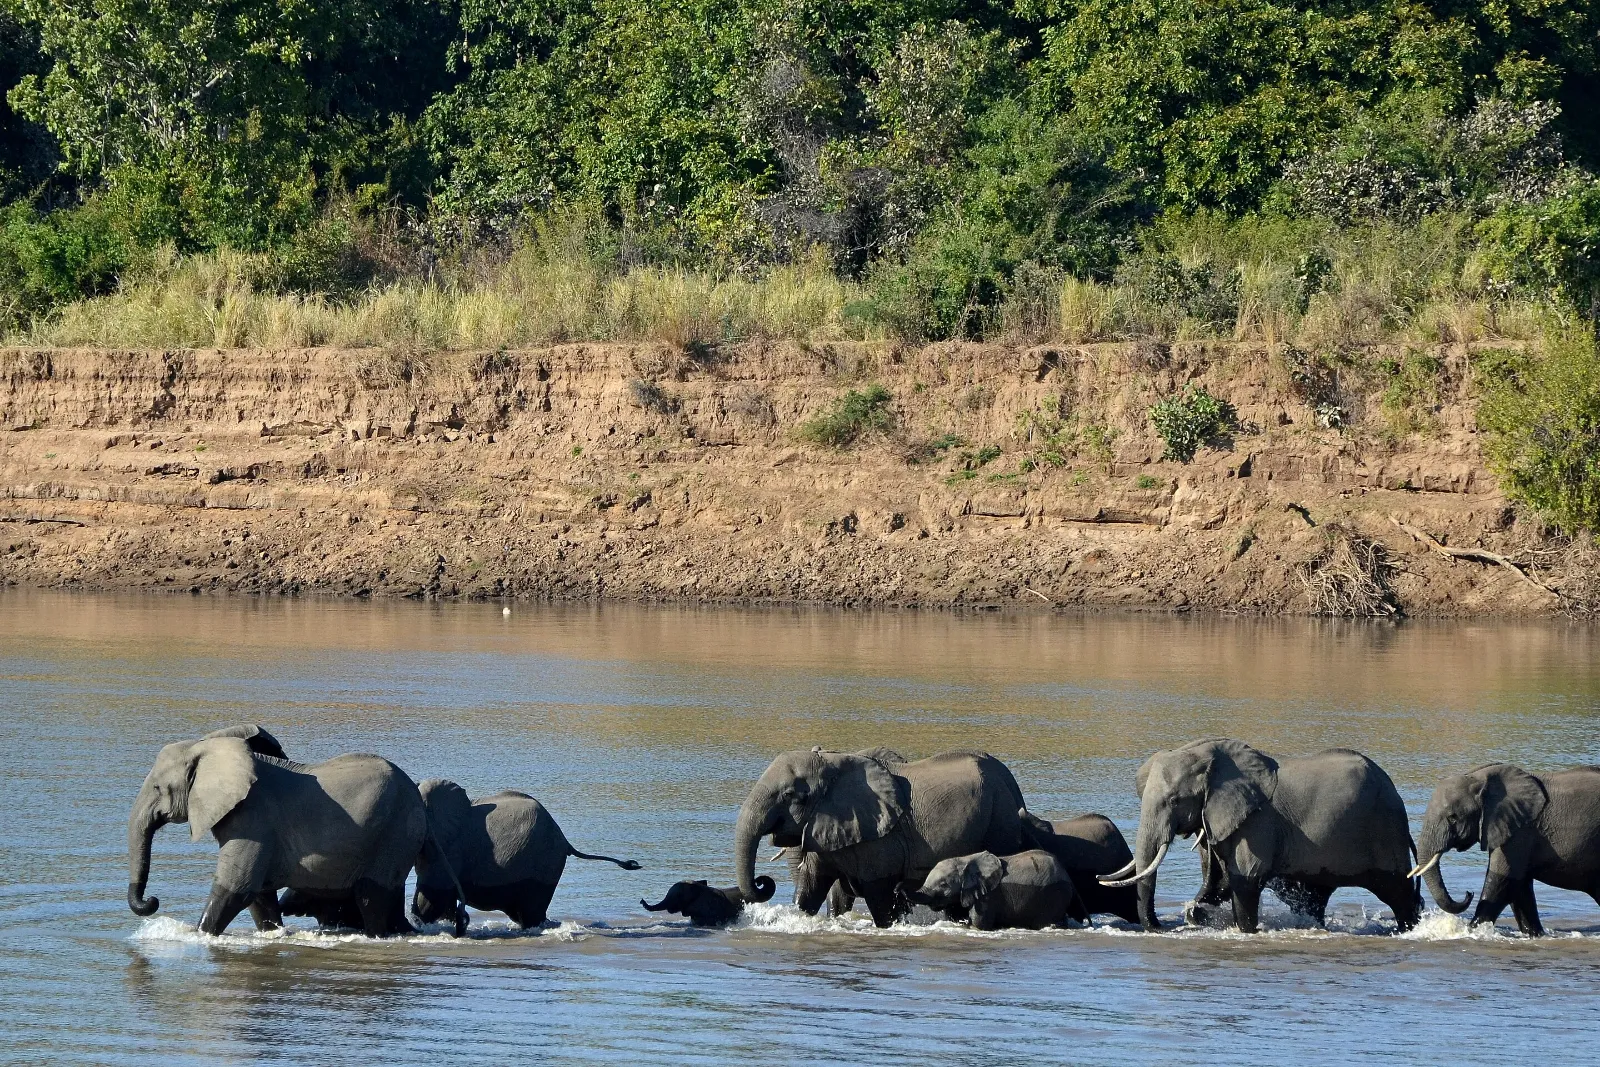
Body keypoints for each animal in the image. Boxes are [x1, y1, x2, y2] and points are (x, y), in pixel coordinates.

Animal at [127, 724, 443, 937]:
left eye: (158, 788)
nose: (152, 901)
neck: (207, 749)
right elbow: (259, 897)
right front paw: (272, 934)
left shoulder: (253, 818)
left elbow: (237, 888)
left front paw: (197, 936)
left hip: (396, 831)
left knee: (371, 896)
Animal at [734, 747, 1029, 928]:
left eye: (789, 795)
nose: (762, 882)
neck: (833, 765)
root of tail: (1010, 779)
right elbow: (812, 887)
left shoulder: (882, 841)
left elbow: (880, 896)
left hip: (1000, 820)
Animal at [909, 850, 1080, 930]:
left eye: (943, 884)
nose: (900, 890)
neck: (964, 860)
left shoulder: (988, 895)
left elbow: (979, 924)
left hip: (1054, 894)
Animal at [1104, 738, 1420, 933]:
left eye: (1174, 801)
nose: (1159, 927)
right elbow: (1218, 881)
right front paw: (1196, 913)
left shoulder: (1257, 823)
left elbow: (1244, 880)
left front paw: (1243, 930)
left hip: (1385, 828)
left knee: (1398, 891)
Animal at [1411, 764, 1600, 936]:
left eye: (1453, 818)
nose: (1468, 893)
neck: (1480, 778)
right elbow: (1520, 887)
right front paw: (1534, 935)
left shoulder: (1521, 831)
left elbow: (1503, 881)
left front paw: (1470, 932)